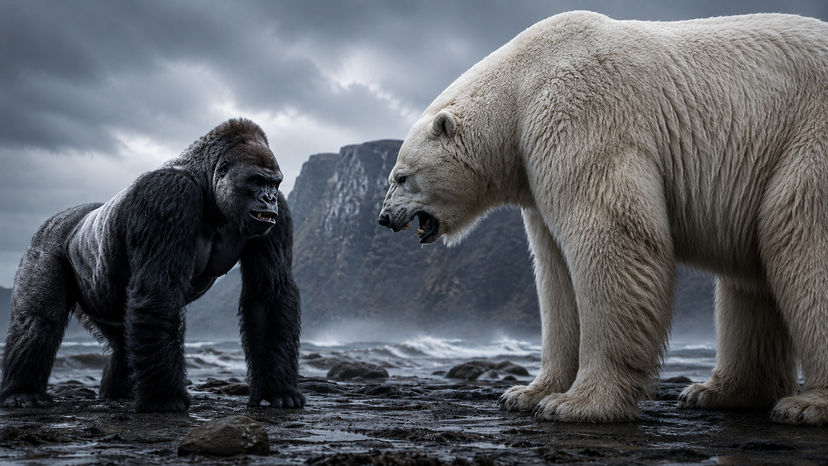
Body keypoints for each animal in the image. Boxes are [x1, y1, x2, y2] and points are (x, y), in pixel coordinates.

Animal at [377, 11, 828, 425]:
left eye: (401, 176)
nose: (384, 218)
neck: (523, 83)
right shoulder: (534, 175)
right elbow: (555, 272)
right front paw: (525, 393)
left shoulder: (581, 113)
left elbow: (612, 237)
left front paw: (576, 403)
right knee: (750, 281)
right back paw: (717, 392)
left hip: (808, 138)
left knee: (798, 238)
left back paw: (805, 404)